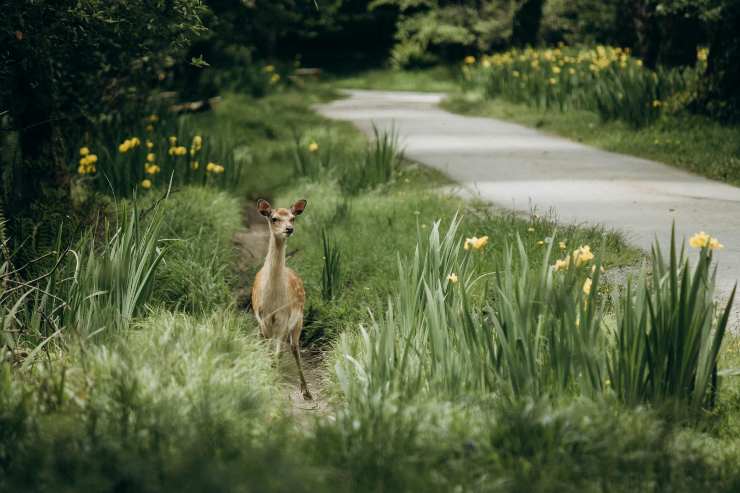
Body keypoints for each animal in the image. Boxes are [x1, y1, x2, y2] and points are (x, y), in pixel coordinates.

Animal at [251, 197, 312, 400]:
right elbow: (268, 353)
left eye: (293, 217)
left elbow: (277, 354)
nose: (289, 229)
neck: (273, 302)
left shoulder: (283, 320)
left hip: (299, 320)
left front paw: (275, 385)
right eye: (274, 218)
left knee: (294, 348)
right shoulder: (263, 319)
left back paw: (306, 391)